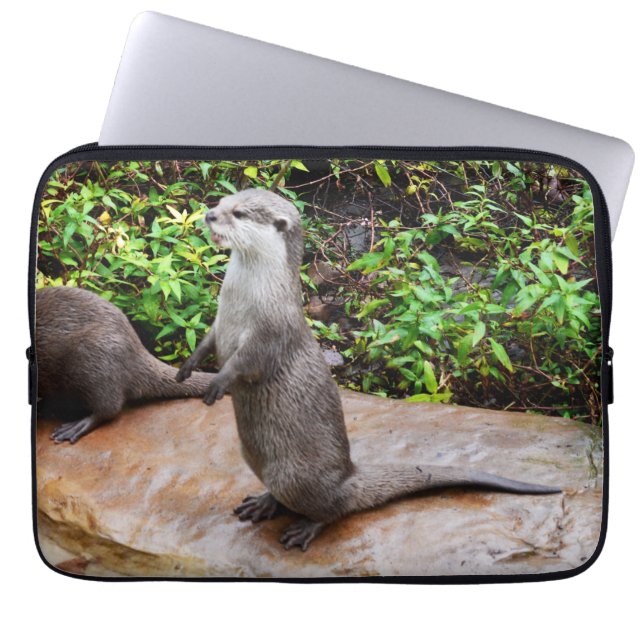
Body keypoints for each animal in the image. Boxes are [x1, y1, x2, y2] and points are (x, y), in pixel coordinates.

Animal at [178, 188, 560, 551]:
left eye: (239, 213)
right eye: (222, 201)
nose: (210, 215)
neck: (244, 300)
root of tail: (348, 476)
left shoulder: (272, 330)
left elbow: (246, 363)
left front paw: (218, 383)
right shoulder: (220, 321)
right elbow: (208, 341)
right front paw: (187, 368)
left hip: (294, 475)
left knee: (333, 509)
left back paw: (305, 528)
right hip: (255, 457)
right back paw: (263, 502)